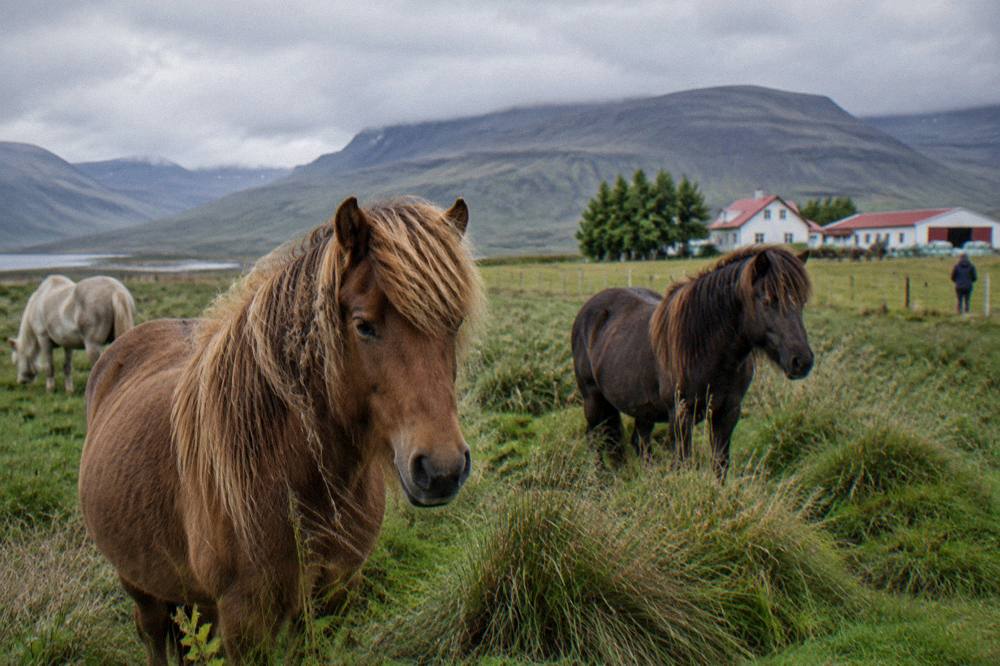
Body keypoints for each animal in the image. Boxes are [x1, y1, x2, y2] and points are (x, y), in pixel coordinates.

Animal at [78, 197, 484, 663]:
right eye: (363, 325)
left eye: (454, 323)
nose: (441, 470)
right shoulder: (244, 617)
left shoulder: (338, 591)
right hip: (139, 585)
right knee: (152, 632)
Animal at [572, 246, 812, 479]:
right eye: (767, 300)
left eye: (801, 302)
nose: (802, 361)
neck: (706, 348)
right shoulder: (680, 415)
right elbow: (683, 463)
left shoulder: (728, 412)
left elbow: (720, 464)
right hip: (593, 400)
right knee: (595, 440)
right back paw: (599, 480)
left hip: (642, 408)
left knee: (639, 442)